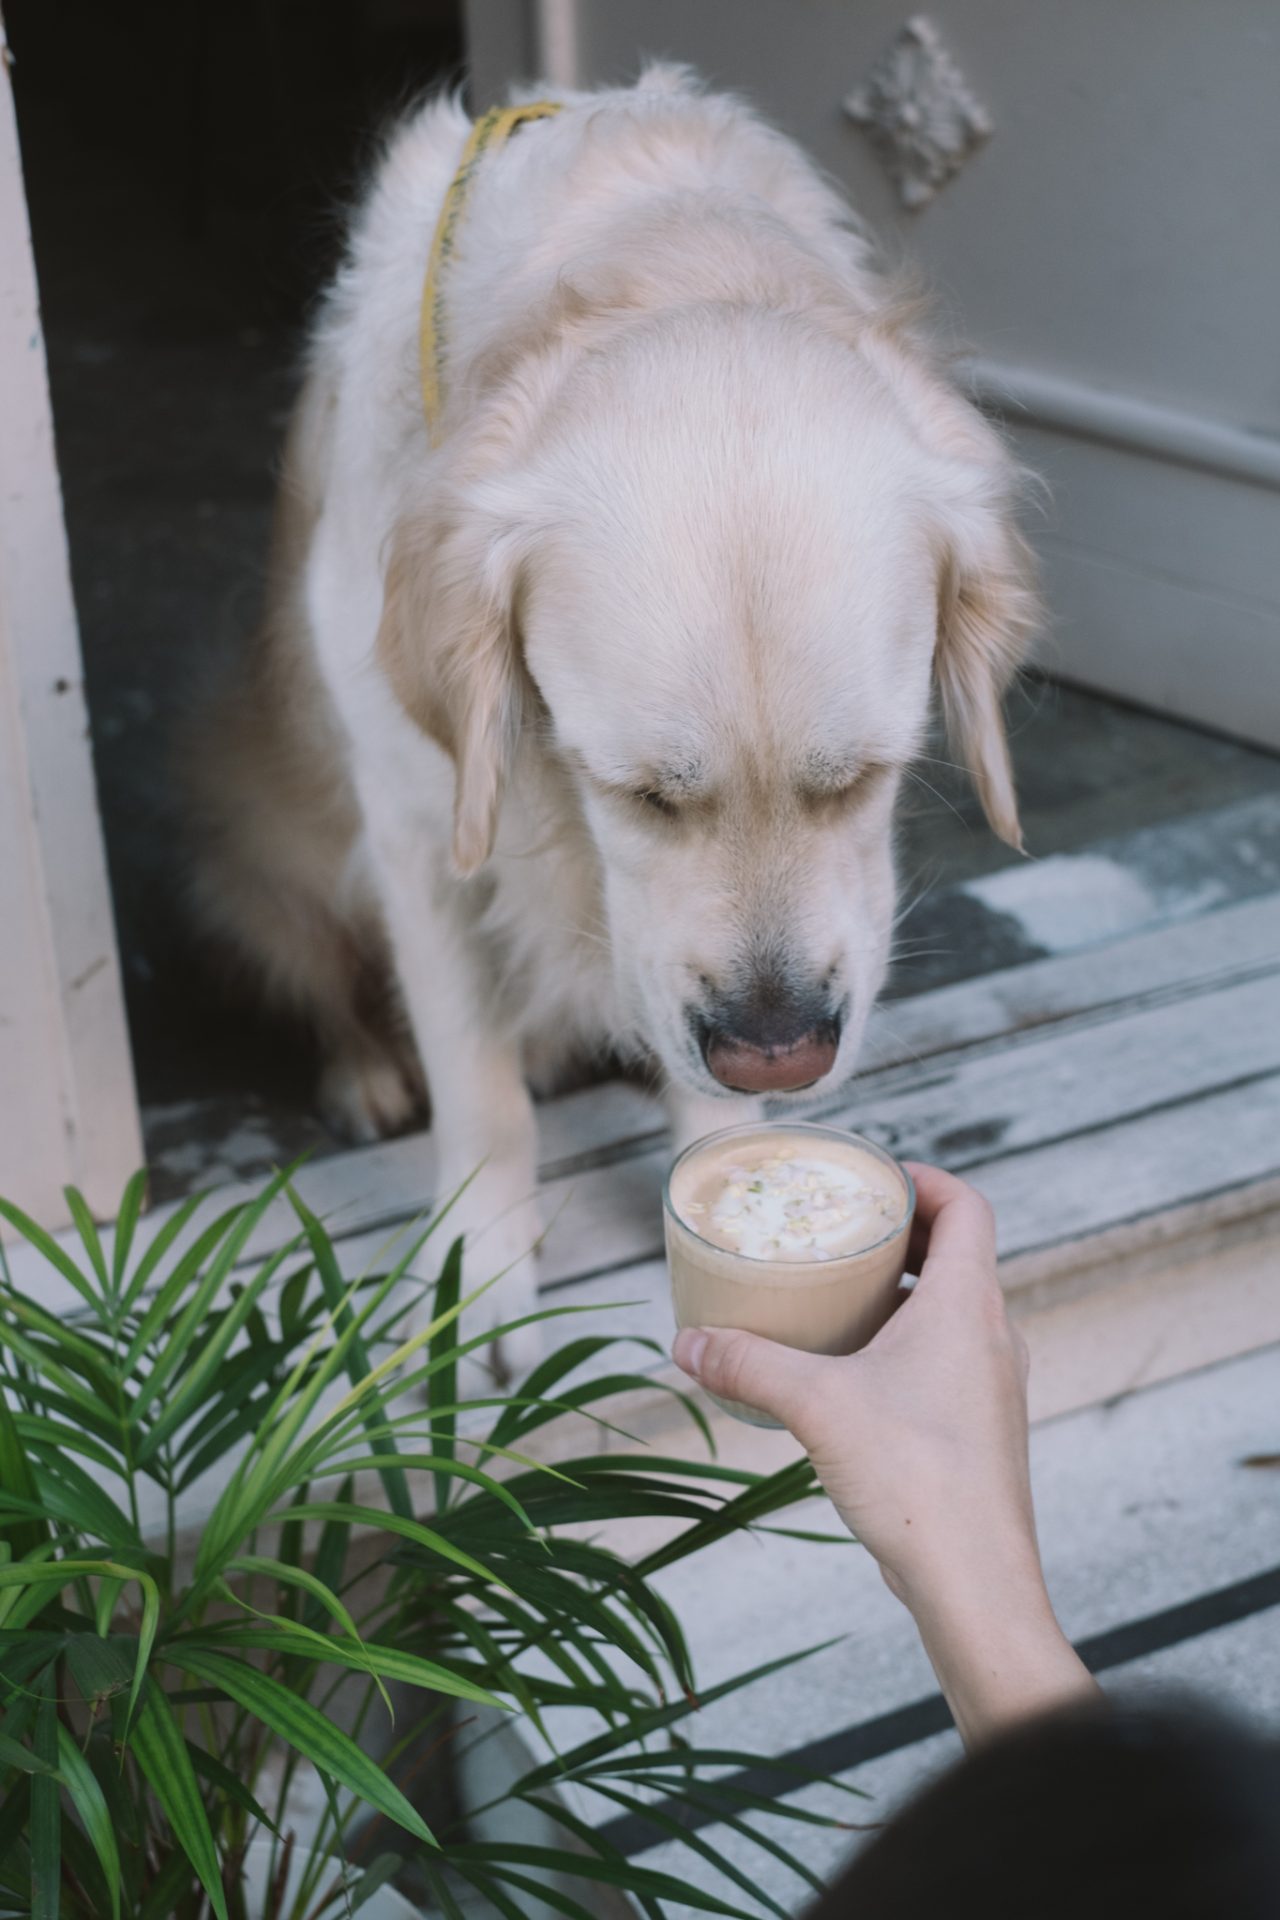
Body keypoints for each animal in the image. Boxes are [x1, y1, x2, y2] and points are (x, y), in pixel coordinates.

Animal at [185, 67, 1036, 1374]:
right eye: (634, 790)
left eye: (862, 778)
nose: (780, 1049)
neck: (652, 248)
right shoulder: (418, 835)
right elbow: (480, 1094)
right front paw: (481, 1279)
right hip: (264, 846)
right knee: (325, 974)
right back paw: (367, 1072)